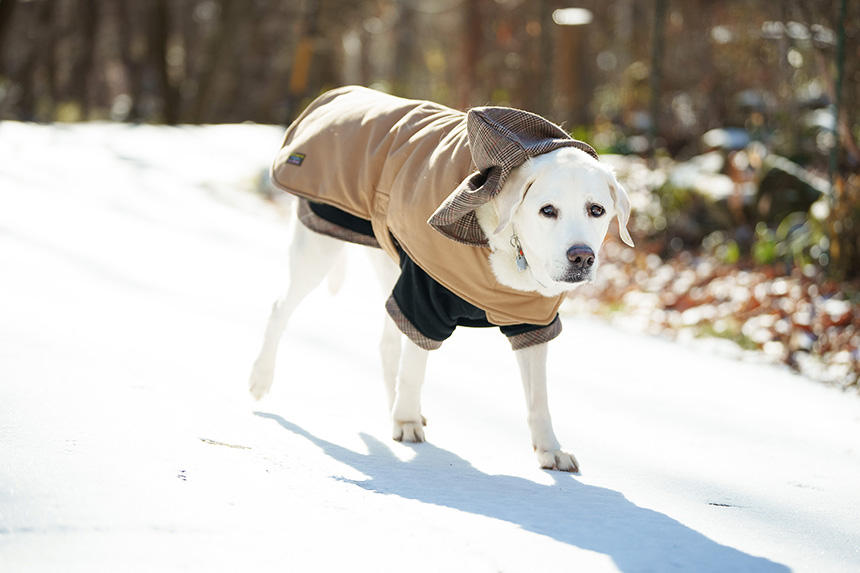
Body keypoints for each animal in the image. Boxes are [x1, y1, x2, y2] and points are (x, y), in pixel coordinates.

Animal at [249, 85, 632, 470]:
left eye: (596, 210)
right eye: (547, 210)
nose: (582, 256)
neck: (507, 243)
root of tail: (339, 95)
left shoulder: (532, 321)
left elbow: (538, 398)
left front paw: (549, 449)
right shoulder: (423, 299)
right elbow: (414, 368)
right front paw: (406, 422)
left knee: (387, 342)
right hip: (318, 248)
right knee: (279, 308)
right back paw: (261, 379)